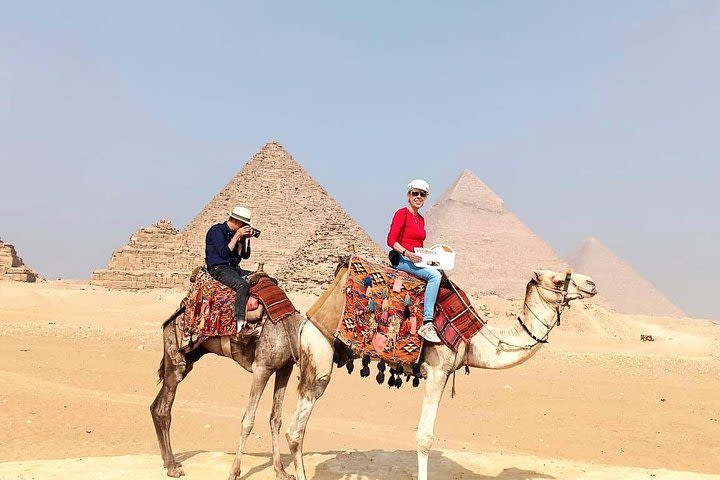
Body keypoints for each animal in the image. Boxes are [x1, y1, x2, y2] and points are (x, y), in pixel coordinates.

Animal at [150, 298, 302, 478]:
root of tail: (169, 321)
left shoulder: (285, 368)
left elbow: (275, 419)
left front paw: (281, 471)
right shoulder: (262, 368)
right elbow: (248, 421)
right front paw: (234, 472)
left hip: (190, 357)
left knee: (155, 406)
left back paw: (168, 462)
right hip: (175, 357)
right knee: (163, 408)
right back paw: (173, 468)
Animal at [284, 266, 600, 480]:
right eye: (558, 280)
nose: (592, 283)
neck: (474, 339)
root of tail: (308, 317)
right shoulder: (437, 371)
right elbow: (425, 437)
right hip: (319, 355)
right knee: (295, 430)